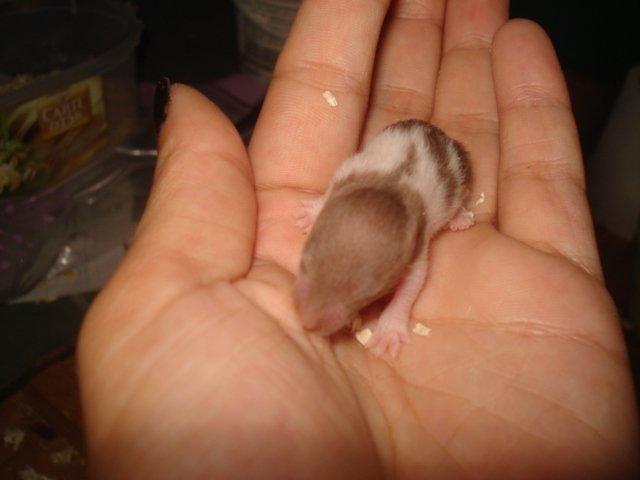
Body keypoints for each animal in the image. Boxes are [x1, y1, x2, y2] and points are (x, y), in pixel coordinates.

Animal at [294, 119, 474, 357]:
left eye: (368, 293)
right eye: (305, 261)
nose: (307, 323)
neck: (392, 186)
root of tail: (436, 131)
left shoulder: (418, 243)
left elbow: (413, 282)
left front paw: (388, 331)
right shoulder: (351, 170)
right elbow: (332, 185)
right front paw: (313, 211)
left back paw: (460, 217)